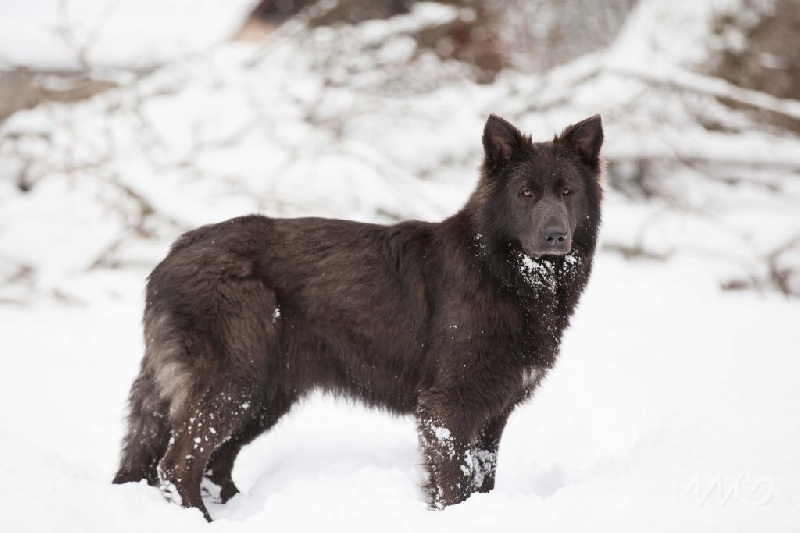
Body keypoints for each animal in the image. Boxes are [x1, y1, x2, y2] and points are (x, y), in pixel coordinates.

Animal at [113, 114, 603, 520]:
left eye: (567, 192)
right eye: (525, 193)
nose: (555, 236)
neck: (503, 273)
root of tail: (179, 247)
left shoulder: (493, 414)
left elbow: (482, 482)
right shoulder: (450, 408)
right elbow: (454, 485)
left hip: (263, 395)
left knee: (212, 466)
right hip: (233, 385)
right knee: (178, 467)